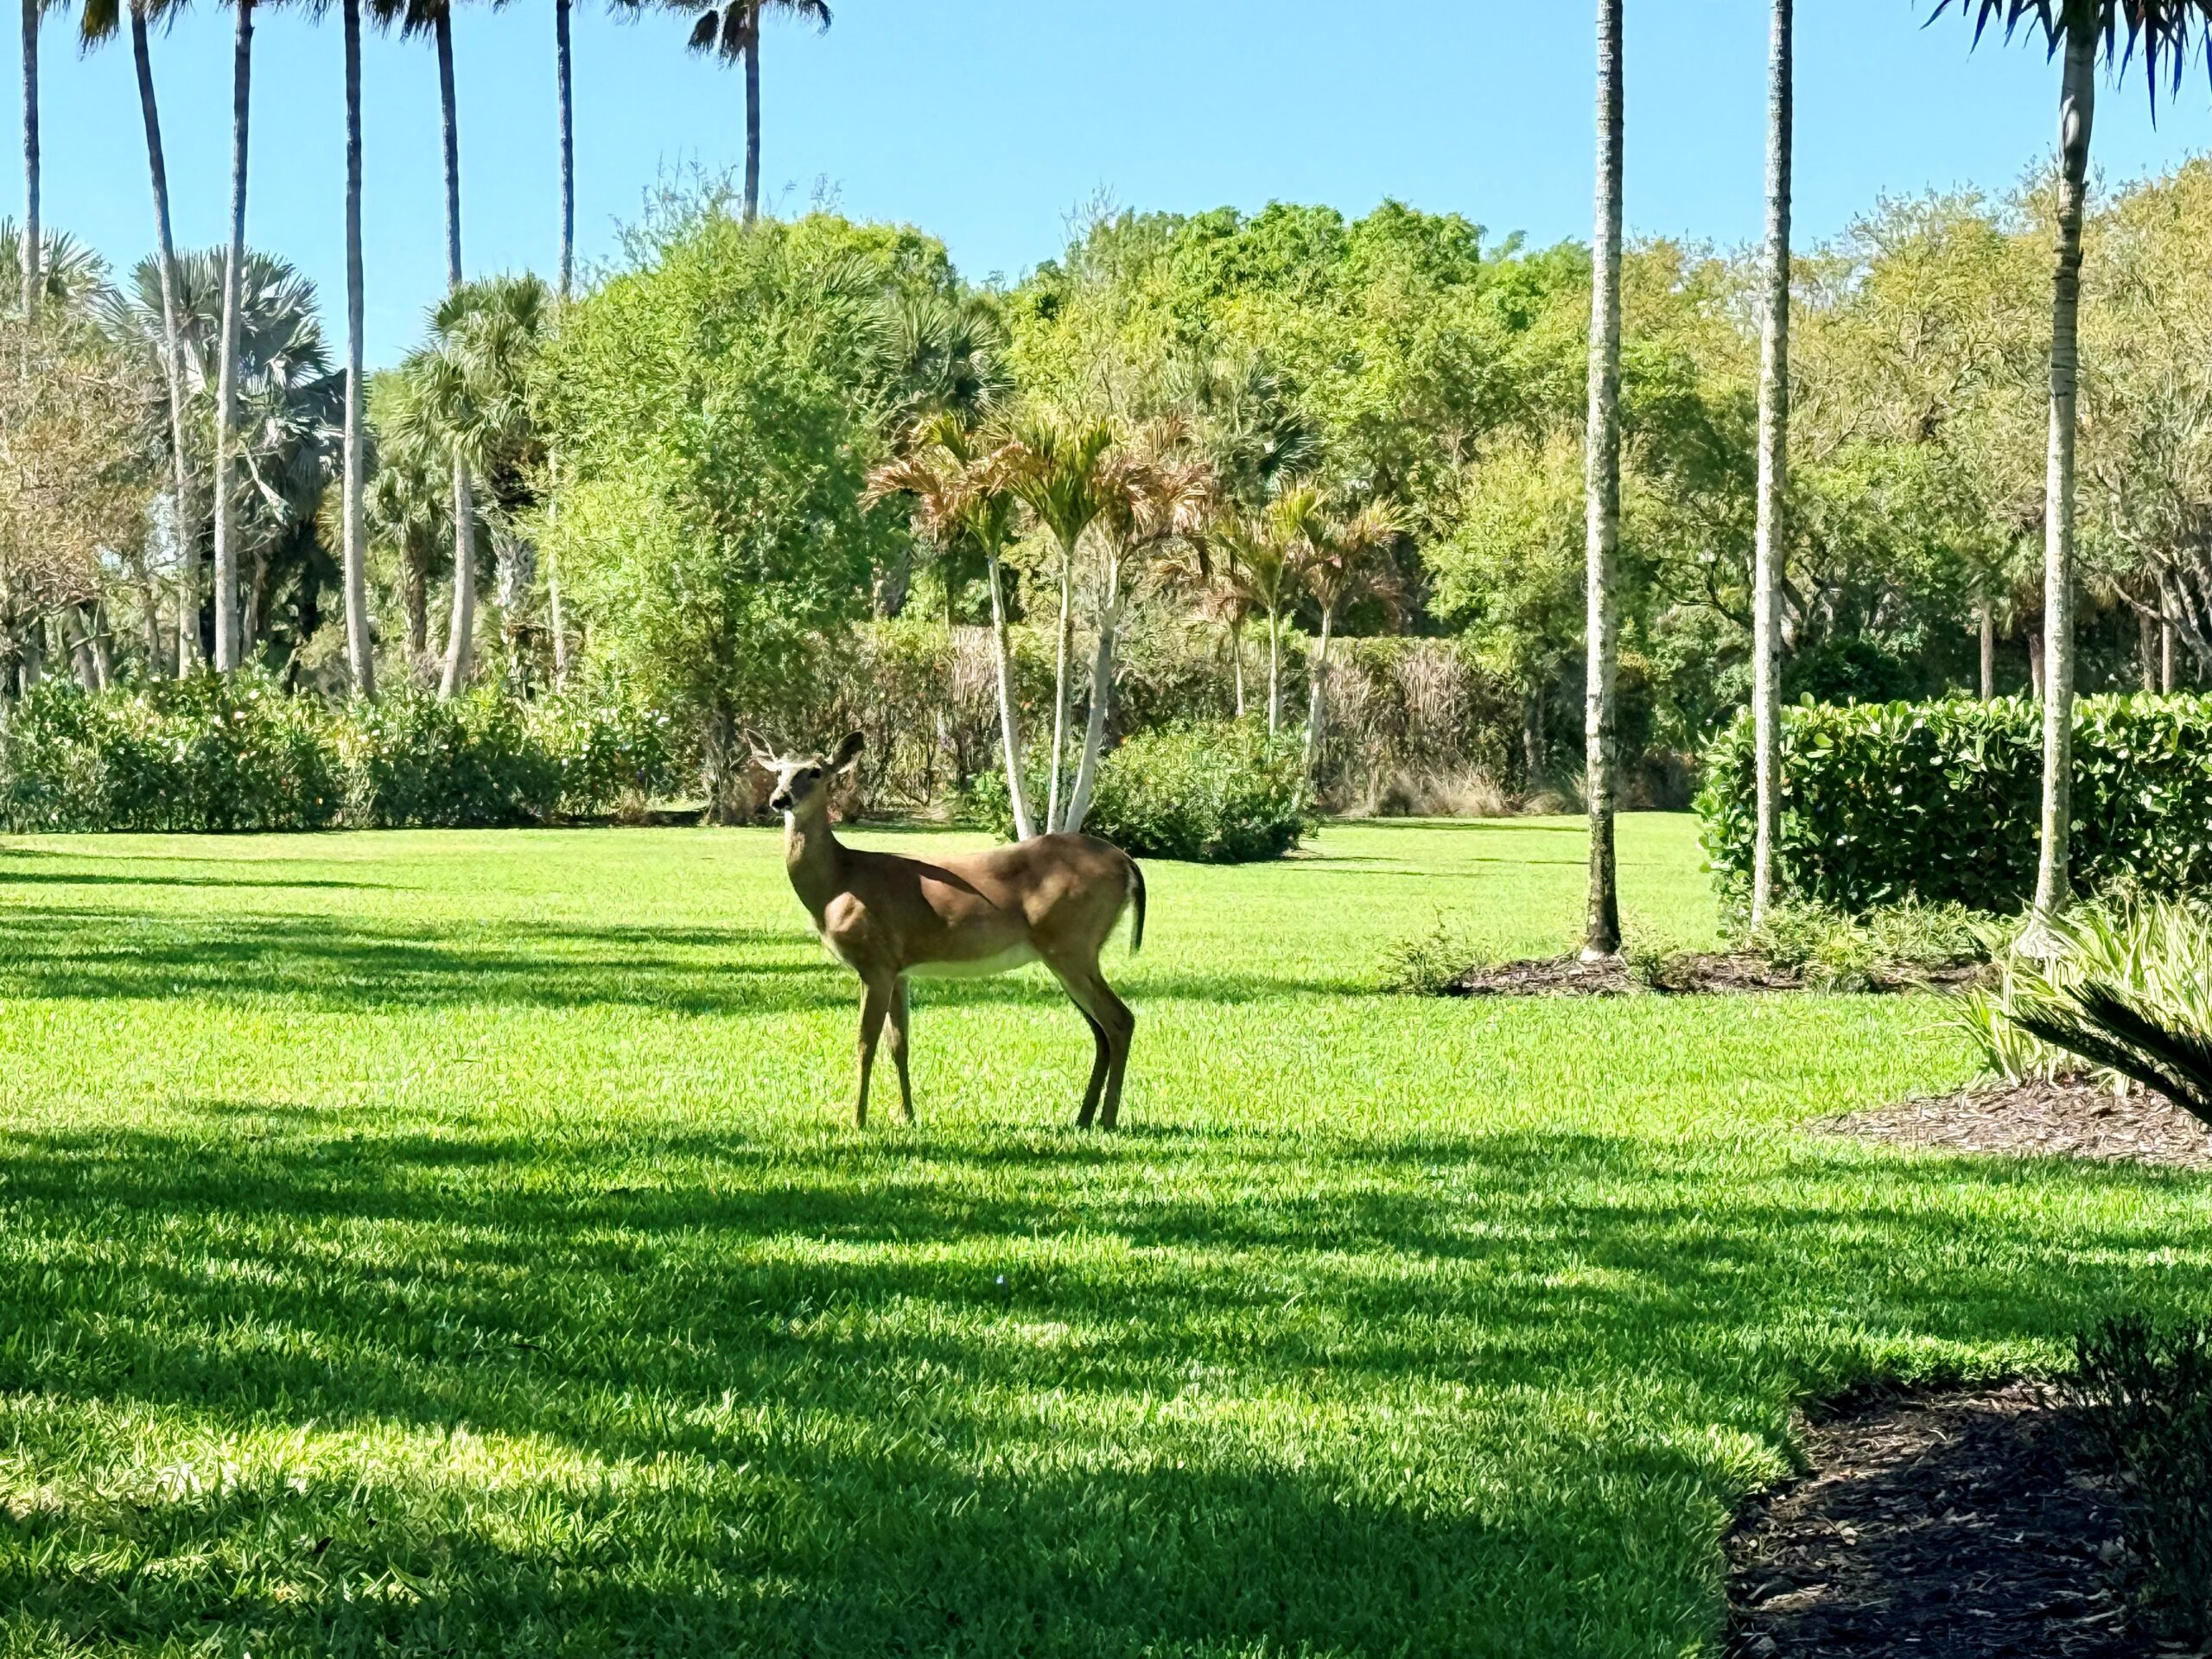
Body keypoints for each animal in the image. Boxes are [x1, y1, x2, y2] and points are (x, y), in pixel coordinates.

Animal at [748, 731, 1146, 1130]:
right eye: (779, 770)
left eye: (815, 771)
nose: (779, 799)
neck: (839, 882)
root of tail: (1126, 862)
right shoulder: (899, 969)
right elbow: (899, 1043)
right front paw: (907, 1116)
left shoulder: (874, 960)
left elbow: (865, 1042)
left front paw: (857, 1120)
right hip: (1065, 953)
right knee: (1100, 1030)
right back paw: (1083, 1118)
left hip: (1072, 944)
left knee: (1119, 1020)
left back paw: (1107, 1119)